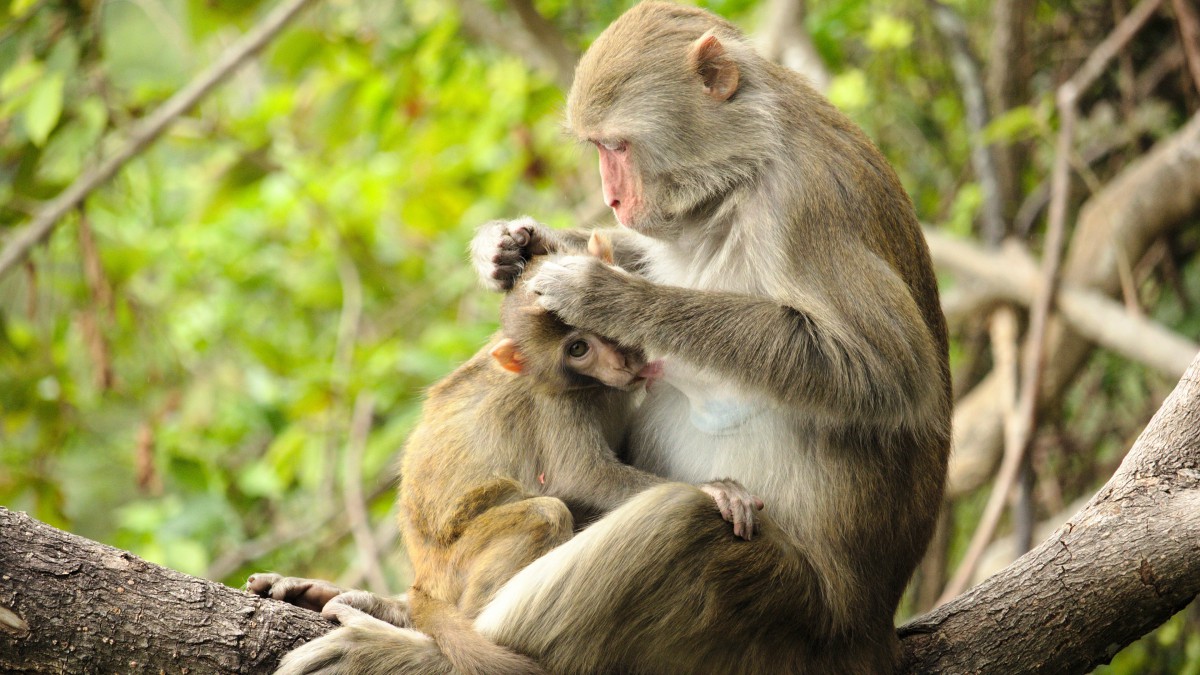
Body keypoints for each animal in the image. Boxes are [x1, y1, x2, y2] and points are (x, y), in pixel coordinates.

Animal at [272, 2, 945, 667]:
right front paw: (505, 246)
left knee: (682, 520)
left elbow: (884, 374)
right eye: (597, 147)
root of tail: (866, 629)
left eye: (617, 145)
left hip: (790, 616)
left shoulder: (802, 204)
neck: (744, 171)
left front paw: (605, 293)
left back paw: (409, 648)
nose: (612, 197)